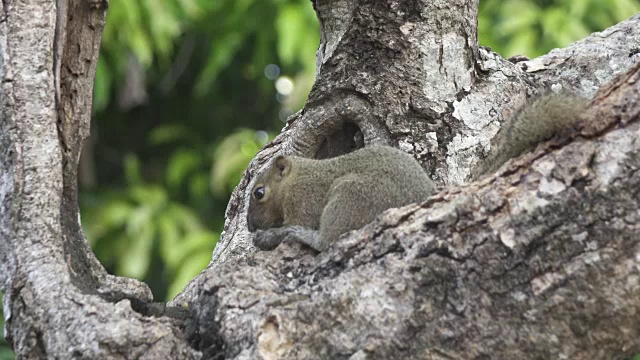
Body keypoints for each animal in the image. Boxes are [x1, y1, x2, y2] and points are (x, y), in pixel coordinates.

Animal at [248, 91, 588, 252]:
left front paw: (274, 233)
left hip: (351, 194)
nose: (250, 227)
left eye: (259, 193)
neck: (295, 179)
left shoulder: (303, 202)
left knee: (327, 241)